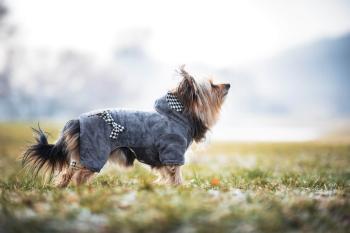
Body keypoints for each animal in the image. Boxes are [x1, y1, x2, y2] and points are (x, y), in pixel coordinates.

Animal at [21, 66, 230, 187]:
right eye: (212, 85)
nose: (227, 84)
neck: (179, 114)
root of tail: (77, 121)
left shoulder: (162, 158)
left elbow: (165, 173)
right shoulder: (172, 152)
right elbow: (175, 173)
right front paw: (179, 189)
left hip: (82, 154)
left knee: (68, 173)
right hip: (95, 152)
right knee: (80, 175)